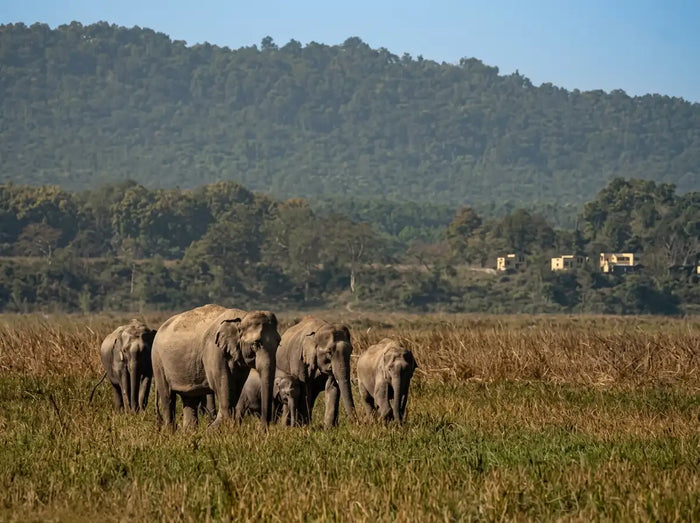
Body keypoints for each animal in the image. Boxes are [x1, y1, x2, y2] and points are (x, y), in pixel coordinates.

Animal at [151, 304, 280, 429]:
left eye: (279, 343)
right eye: (255, 344)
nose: (261, 428)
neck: (242, 316)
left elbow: (236, 388)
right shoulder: (214, 351)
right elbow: (223, 386)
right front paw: (219, 427)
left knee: (190, 399)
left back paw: (190, 432)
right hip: (157, 360)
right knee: (167, 397)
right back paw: (170, 431)